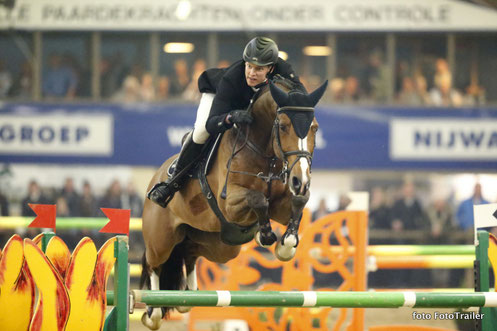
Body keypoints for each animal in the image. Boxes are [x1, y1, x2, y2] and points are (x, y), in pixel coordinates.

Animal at [140, 77, 328, 330]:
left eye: (314, 127)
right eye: (283, 126)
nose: (301, 180)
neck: (264, 152)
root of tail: (155, 177)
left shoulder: (281, 203)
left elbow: (299, 200)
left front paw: (285, 245)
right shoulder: (231, 205)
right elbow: (258, 199)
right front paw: (265, 235)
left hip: (220, 246)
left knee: (189, 252)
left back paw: (186, 297)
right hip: (161, 240)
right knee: (154, 264)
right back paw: (154, 312)